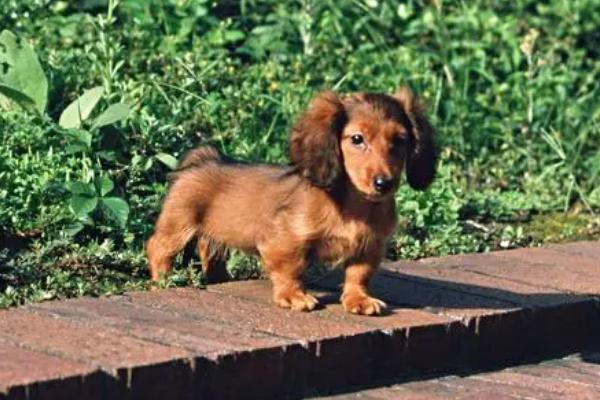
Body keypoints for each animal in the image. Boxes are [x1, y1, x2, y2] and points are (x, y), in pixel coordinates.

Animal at [145, 87, 436, 316]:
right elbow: (290, 269)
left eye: (400, 140)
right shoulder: (285, 240)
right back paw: (164, 282)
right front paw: (293, 296)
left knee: (210, 253)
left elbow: (359, 274)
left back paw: (220, 280)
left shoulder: (370, 246)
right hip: (179, 224)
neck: (354, 206)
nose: (384, 183)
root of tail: (204, 159)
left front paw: (359, 300)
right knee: (157, 248)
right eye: (357, 139)